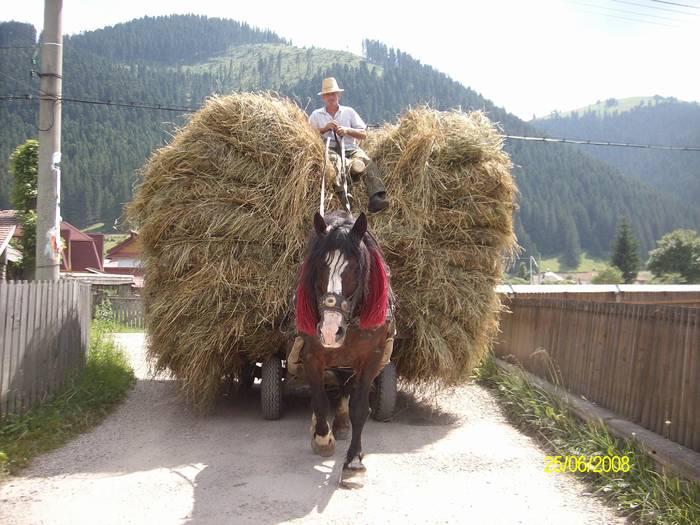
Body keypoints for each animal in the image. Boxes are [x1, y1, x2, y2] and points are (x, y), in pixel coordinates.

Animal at [294, 209, 394, 488]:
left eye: (357, 268)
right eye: (318, 266)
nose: (330, 331)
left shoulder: (371, 358)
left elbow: (359, 407)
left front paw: (354, 462)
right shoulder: (311, 355)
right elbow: (318, 399)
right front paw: (322, 439)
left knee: (344, 388)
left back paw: (340, 424)